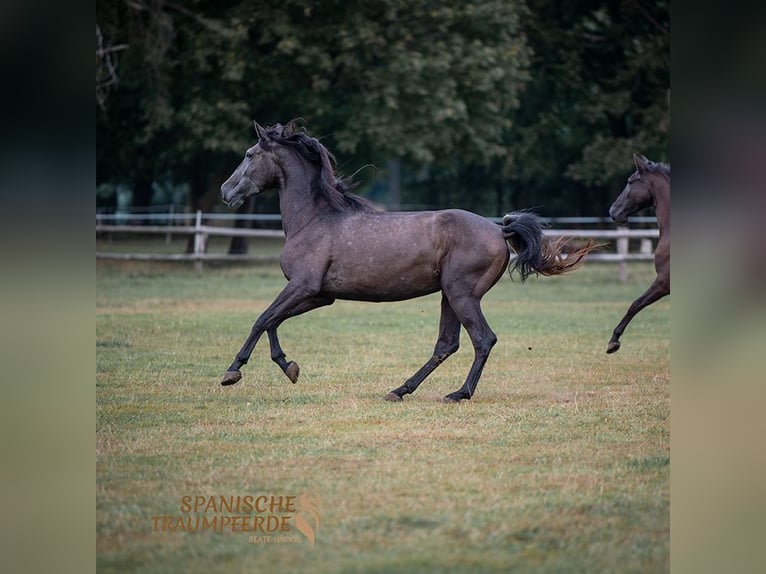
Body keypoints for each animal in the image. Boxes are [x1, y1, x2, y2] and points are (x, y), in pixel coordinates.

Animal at [219, 122, 596, 400]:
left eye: (250, 154)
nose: (226, 191)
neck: (314, 218)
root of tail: (498, 229)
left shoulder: (303, 286)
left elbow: (261, 319)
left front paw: (232, 372)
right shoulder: (320, 295)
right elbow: (272, 321)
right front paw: (289, 367)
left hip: (462, 294)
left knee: (482, 339)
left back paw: (458, 393)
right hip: (449, 296)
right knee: (447, 344)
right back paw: (400, 390)